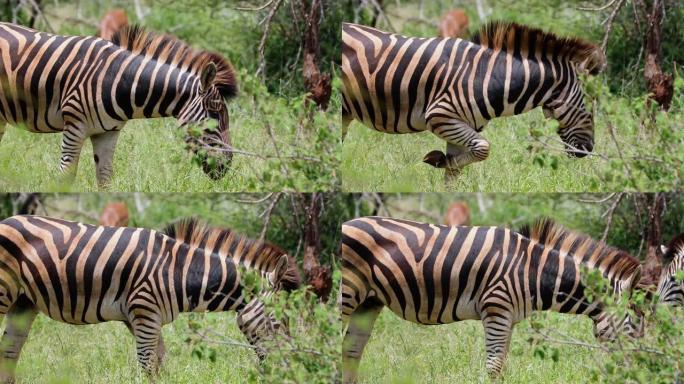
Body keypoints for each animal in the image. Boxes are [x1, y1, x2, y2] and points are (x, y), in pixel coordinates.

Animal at [0, 22, 238, 188]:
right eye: (215, 114)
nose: (227, 166)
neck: (118, 80)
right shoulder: (74, 125)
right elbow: (66, 176)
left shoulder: (107, 132)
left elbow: (105, 178)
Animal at [0, 214, 300, 380]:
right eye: (278, 321)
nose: (290, 368)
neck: (178, 272)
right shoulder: (144, 314)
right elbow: (147, 368)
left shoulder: (148, 319)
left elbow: (159, 365)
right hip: (4, 292)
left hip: (24, 302)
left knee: (9, 352)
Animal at [340, 216, 644, 380]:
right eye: (633, 325)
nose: (639, 371)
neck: (531, 271)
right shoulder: (497, 309)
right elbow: (494, 367)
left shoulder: (508, 318)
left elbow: (502, 365)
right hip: (349, 293)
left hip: (369, 301)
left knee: (351, 351)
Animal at [342, 21, 604, 181]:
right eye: (588, 107)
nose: (589, 150)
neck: (486, 77)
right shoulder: (440, 116)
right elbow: (483, 149)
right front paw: (439, 160)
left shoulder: (459, 126)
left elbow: (454, 172)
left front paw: (444, 164)